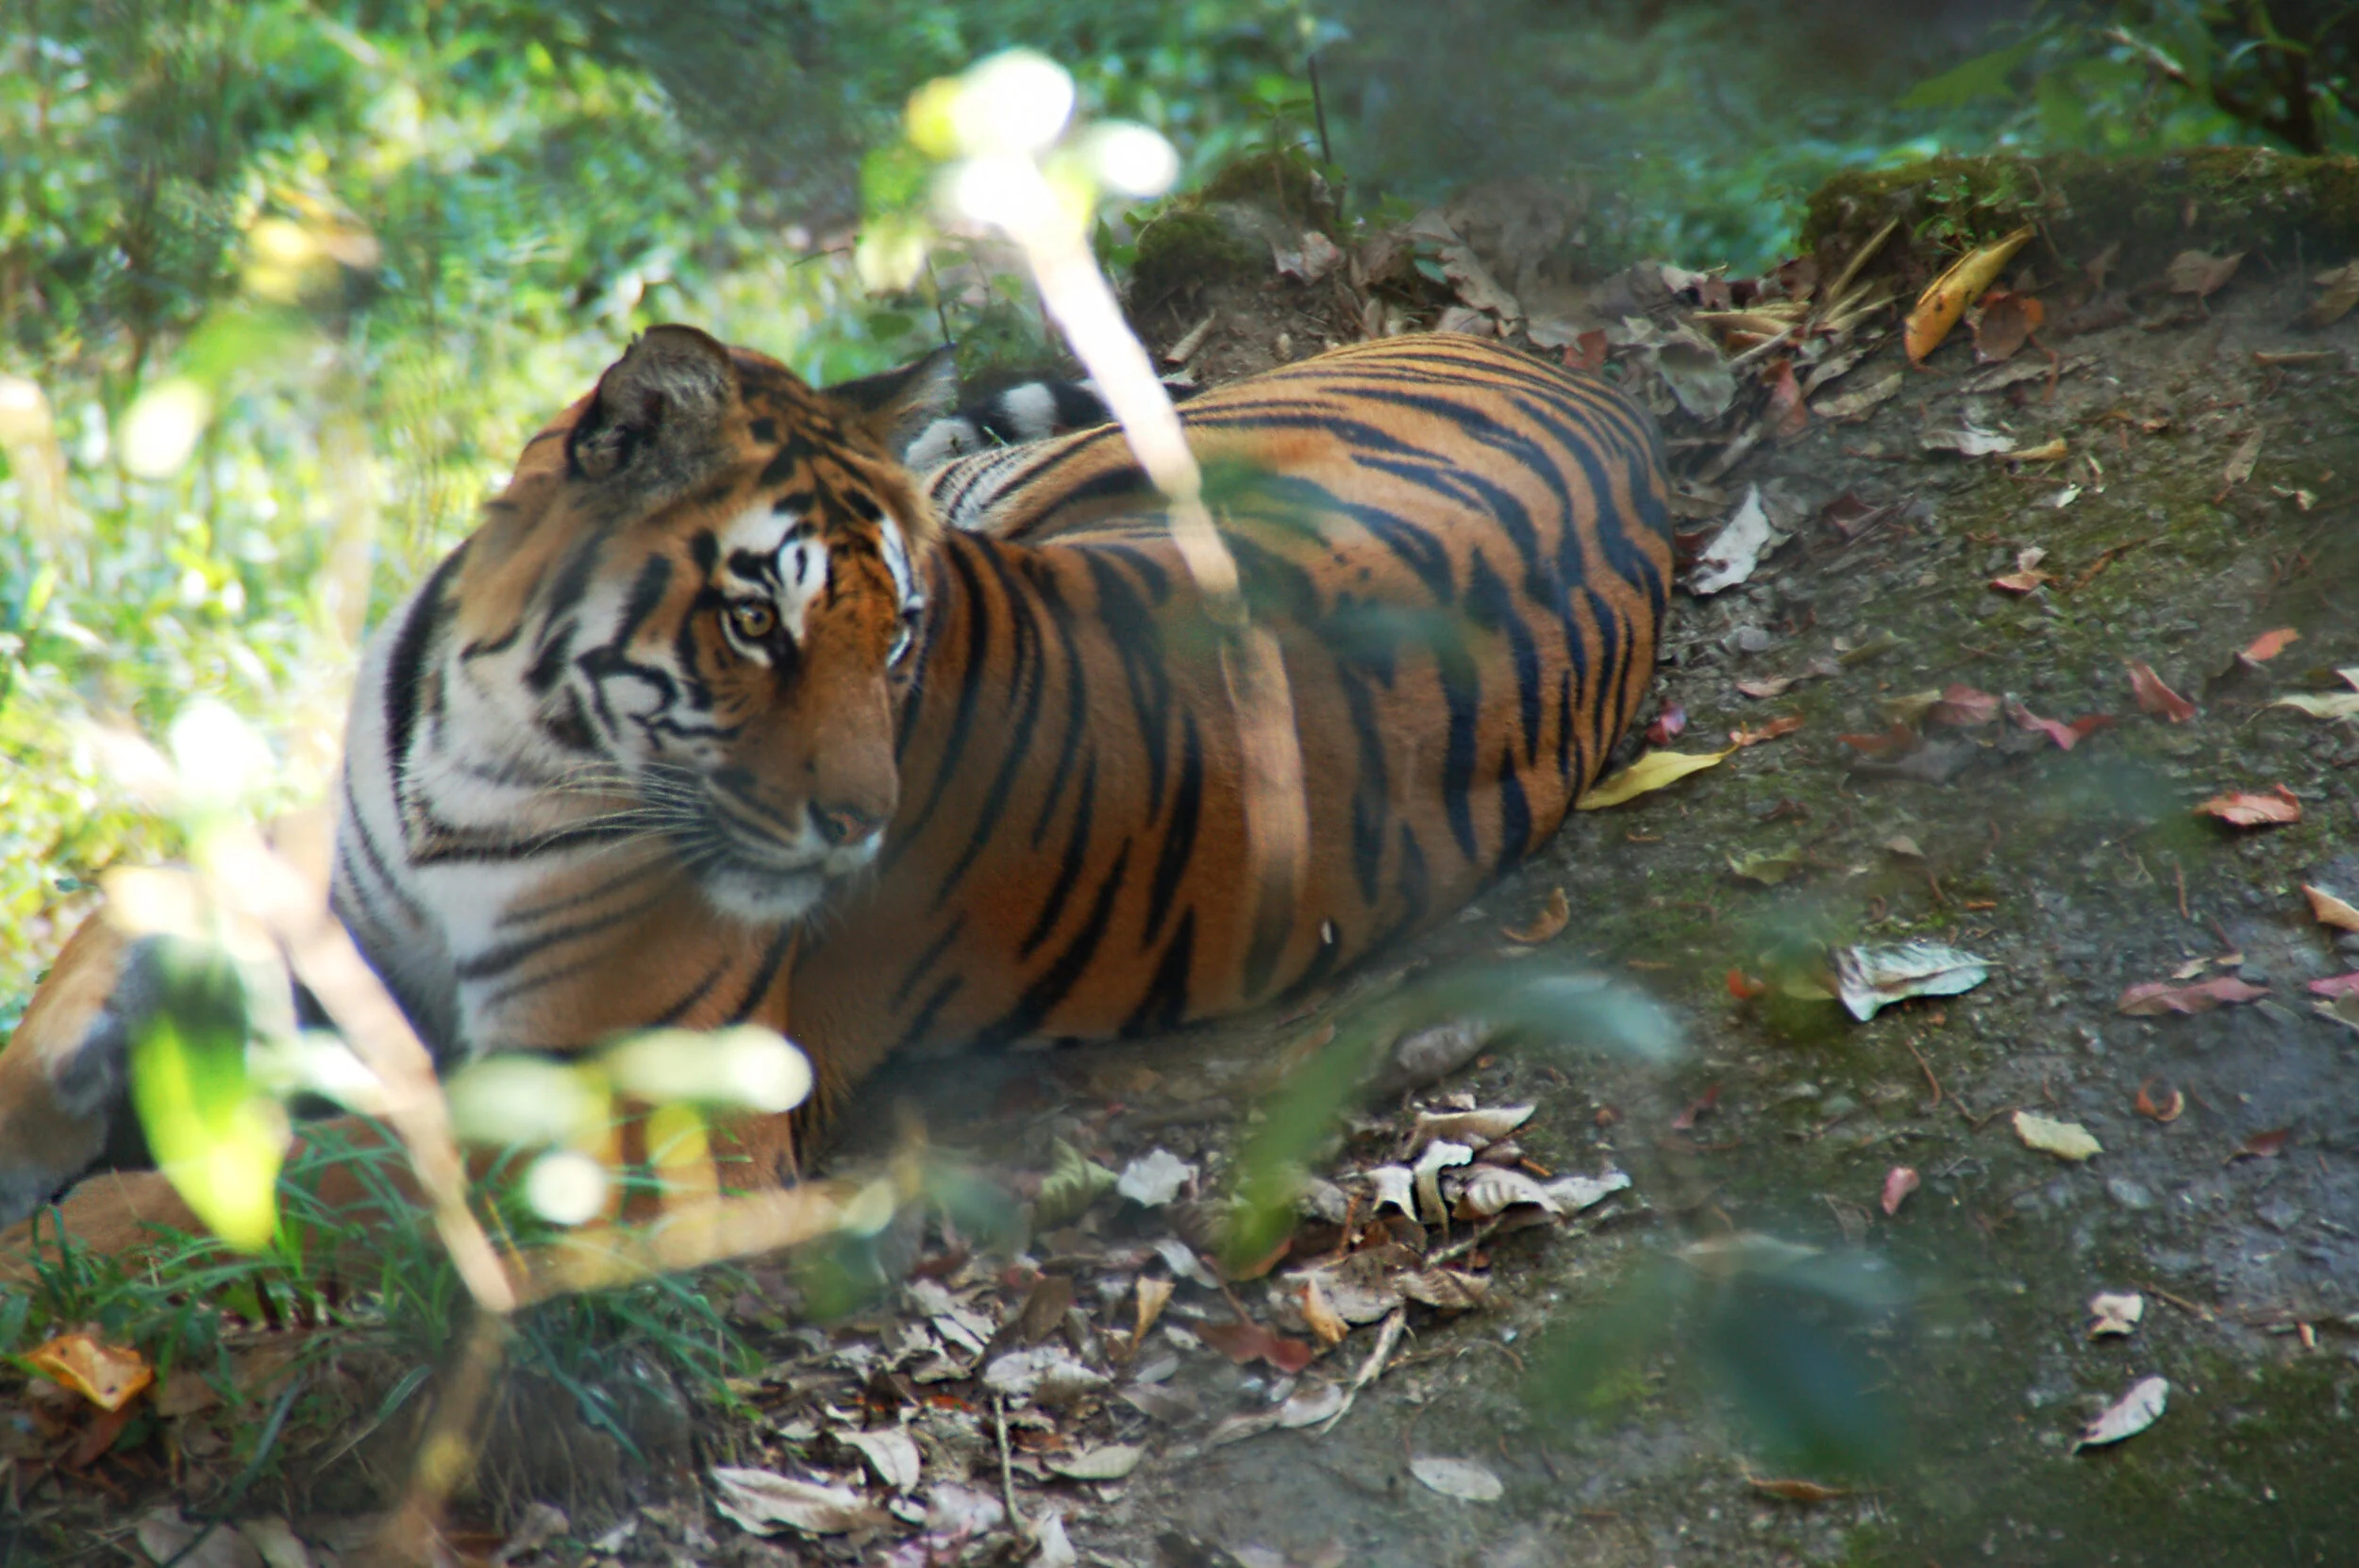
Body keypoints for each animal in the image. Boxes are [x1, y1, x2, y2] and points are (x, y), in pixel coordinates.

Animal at [0, 326, 1672, 1242]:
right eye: (760, 620)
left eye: (903, 634)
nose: (860, 826)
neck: (479, 735)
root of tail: (1599, 398)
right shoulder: (326, 882)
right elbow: (117, 928)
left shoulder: (632, 1114)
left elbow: (321, 1182)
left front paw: (76, 1238)